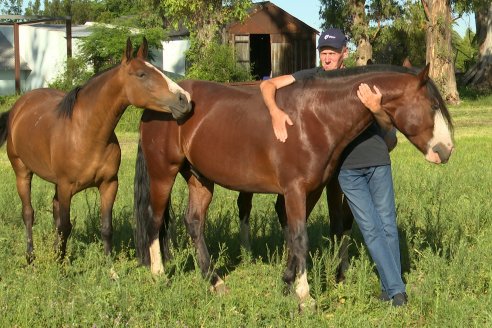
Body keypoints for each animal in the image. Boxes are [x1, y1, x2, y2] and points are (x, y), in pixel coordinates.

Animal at [0, 37, 192, 262]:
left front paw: (108, 263)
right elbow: (65, 226)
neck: (86, 134)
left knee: (54, 210)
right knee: (29, 213)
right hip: (22, 172)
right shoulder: (66, 187)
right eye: (142, 74)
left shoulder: (108, 184)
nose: (184, 99)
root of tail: (19, 106)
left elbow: (106, 227)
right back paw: (30, 256)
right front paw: (61, 264)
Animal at [134, 64, 454, 308]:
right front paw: (304, 296)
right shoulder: (295, 190)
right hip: (163, 174)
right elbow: (300, 237)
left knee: (194, 223)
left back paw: (215, 282)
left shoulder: (311, 191)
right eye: (433, 105)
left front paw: (288, 281)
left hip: (200, 179)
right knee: (154, 220)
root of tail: (165, 103)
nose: (446, 150)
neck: (314, 117)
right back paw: (159, 275)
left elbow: (298, 234)